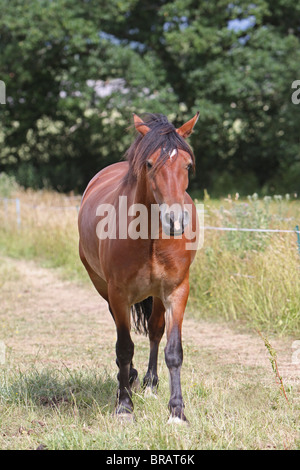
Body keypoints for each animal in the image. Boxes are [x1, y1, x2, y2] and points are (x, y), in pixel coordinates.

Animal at [78, 112, 199, 424]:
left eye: (187, 164)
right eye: (149, 163)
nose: (175, 220)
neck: (151, 237)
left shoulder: (177, 291)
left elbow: (173, 350)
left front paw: (177, 412)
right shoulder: (118, 294)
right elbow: (124, 347)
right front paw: (124, 407)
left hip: (156, 296)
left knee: (155, 332)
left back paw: (150, 383)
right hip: (105, 290)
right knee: (123, 335)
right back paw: (129, 379)